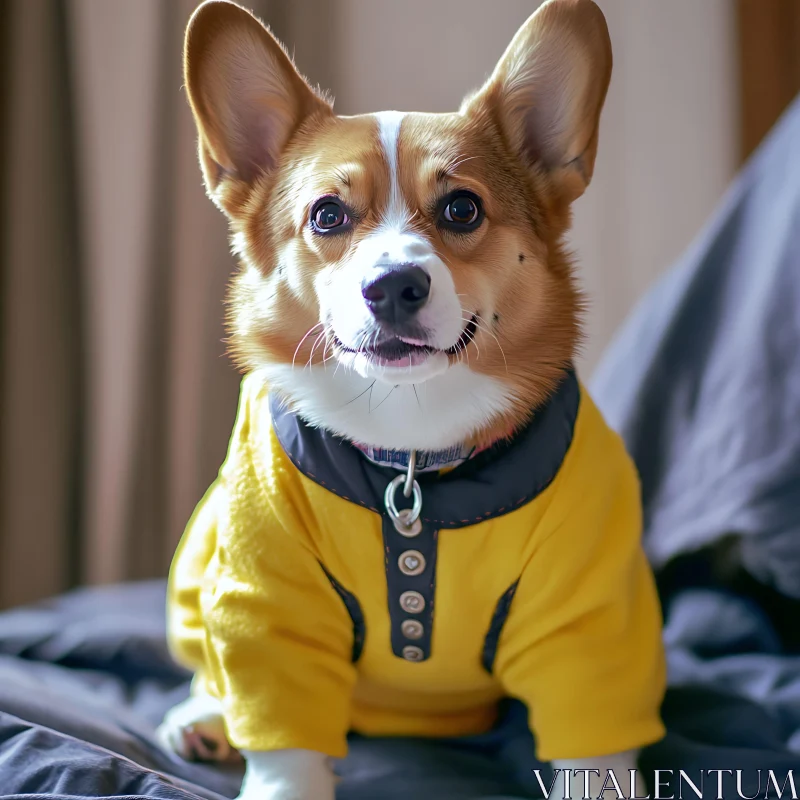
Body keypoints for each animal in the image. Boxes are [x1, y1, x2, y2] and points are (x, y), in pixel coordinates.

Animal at [159, 1, 664, 800]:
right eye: (327, 216)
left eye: (461, 209)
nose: (394, 286)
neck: (411, 451)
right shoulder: (265, 599)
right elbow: (283, 739)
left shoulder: (591, 617)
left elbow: (594, 751)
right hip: (198, 566)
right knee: (209, 667)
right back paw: (203, 718)